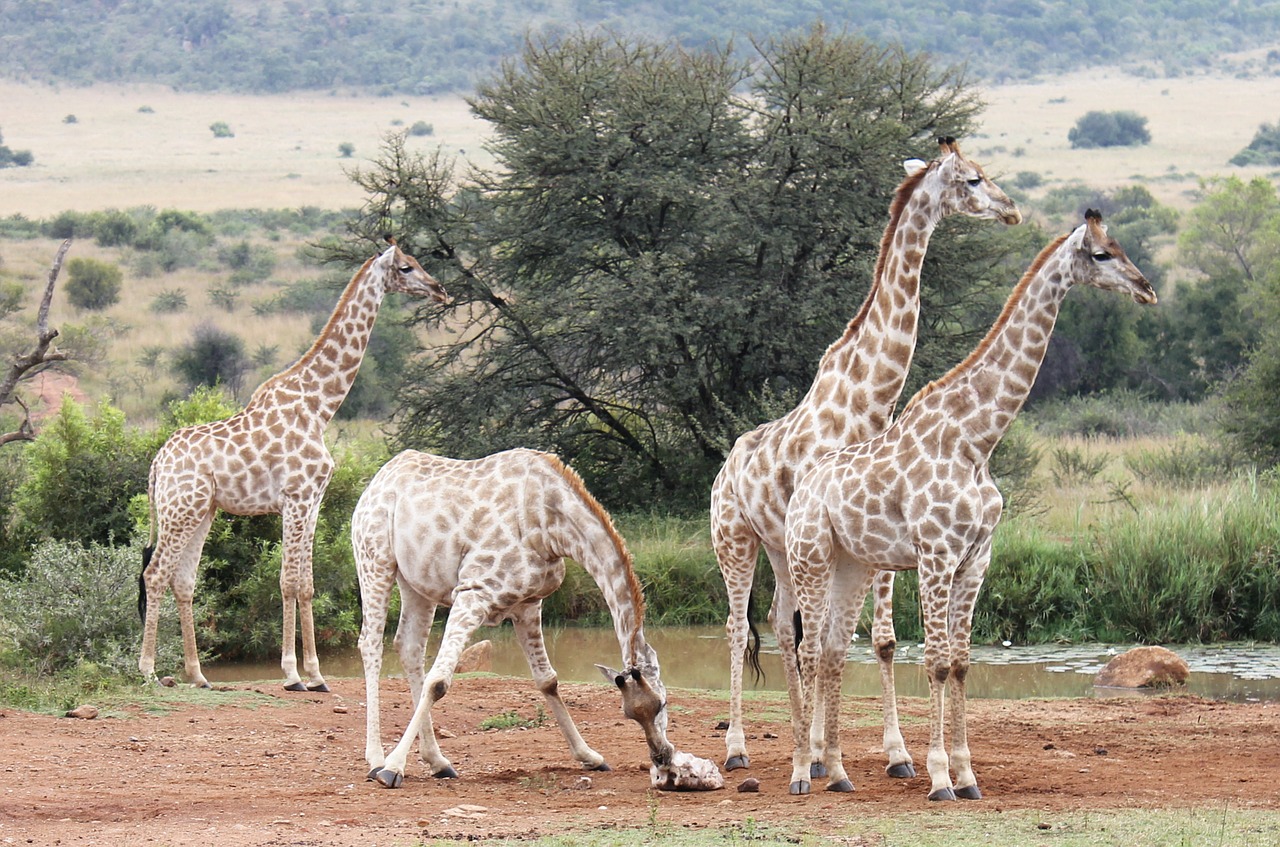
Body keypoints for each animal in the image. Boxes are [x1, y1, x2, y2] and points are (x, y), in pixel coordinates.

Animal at [138, 236, 450, 690]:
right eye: (407, 267)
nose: (440, 290)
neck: (319, 407)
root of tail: (157, 463)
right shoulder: (295, 497)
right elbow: (287, 581)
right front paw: (290, 673)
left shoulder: (313, 500)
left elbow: (306, 584)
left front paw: (316, 674)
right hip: (181, 509)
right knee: (155, 573)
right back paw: (147, 669)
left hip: (202, 511)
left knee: (183, 580)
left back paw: (198, 675)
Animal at [350, 450, 686, 788]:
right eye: (634, 711)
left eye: (661, 703)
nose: (662, 757)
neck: (551, 525)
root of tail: (377, 480)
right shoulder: (473, 592)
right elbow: (439, 681)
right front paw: (393, 767)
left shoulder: (528, 604)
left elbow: (547, 680)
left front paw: (590, 757)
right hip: (375, 561)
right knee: (371, 643)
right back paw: (376, 759)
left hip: (416, 583)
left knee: (409, 647)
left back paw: (438, 761)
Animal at [711, 136, 1018, 777]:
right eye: (974, 180)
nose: (1011, 211)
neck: (868, 398)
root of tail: (726, 467)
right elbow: (832, 637)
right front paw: (831, 754)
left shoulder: (871, 540)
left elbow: (876, 639)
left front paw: (894, 754)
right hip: (735, 540)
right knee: (736, 626)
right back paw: (739, 747)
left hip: (781, 547)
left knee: (780, 624)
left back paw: (800, 738)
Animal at [783, 212, 1157, 803]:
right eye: (1101, 254)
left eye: (1119, 246)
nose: (1146, 289)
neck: (976, 440)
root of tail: (803, 487)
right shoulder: (936, 555)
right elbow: (935, 663)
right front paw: (938, 778)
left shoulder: (977, 558)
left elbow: (960, 663)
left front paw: (967, 775)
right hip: (810, 557)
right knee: (807, 651)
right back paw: (802, 771)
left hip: (854, 564)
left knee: (833, 650)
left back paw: (838, 772)